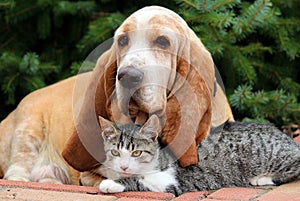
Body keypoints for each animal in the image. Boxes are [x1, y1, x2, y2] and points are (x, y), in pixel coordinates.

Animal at [95, 115, 300, 196]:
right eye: (115, 152)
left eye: (136, 152)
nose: (124, 166)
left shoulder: (170, 181)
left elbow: (140, 180)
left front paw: (111, 184)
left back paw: (262, 178)